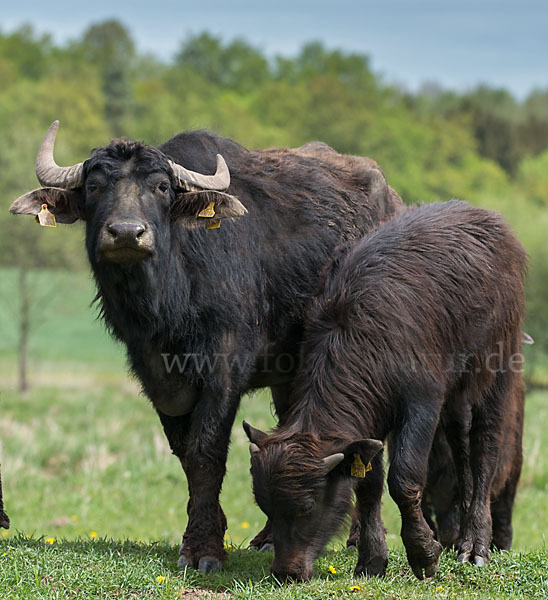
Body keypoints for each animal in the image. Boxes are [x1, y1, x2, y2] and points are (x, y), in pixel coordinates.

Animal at [9, 120, 402, 572]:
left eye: (162, 187)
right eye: (93, 185)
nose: (126, 232)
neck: (167, 303)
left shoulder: (224, 366)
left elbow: (205, 451)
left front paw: (205, 549)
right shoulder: (158, 376)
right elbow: (184, 454)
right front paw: (205, 531)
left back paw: (355, 538)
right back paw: (270, 537)